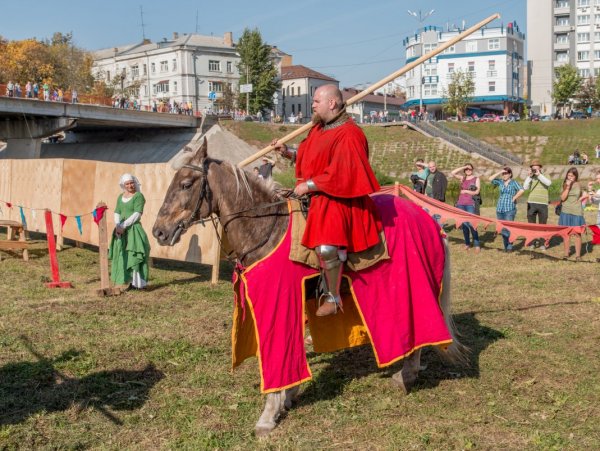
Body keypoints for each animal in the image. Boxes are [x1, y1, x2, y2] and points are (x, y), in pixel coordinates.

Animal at [151, 139, 468, 438]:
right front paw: (289, 396)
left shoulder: (277, 303)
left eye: (186, 184)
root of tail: (430, 220)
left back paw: (406, 375)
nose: (159, 232)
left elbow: (278, 355)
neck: (268, 229)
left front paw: (269, 414)